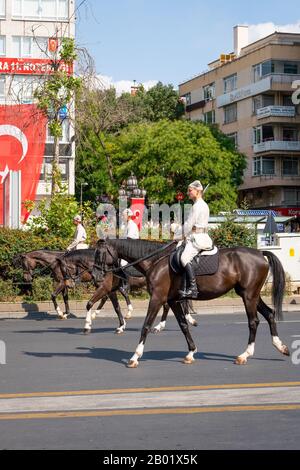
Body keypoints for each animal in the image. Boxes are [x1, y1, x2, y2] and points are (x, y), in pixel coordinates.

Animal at [92, 241, 290, 370]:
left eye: (99, 253)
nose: (95, 276)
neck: (157, 261)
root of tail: (260, 253)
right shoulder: (172, 301)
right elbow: (183, 325)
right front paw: (190, 353)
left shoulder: (157, 298)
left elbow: (146, 326)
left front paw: (134, 357)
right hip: (250, 294)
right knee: (269, 314)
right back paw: (280, 346)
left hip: (249, 296)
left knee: (253, 322)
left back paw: (245, 355)